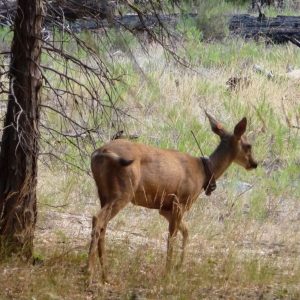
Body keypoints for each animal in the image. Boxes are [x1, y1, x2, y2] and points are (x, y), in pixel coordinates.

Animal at [86, 112, 258, 284]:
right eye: (248, 145)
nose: (254, 163)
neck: (204, 173)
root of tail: (100, 152)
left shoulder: (165, 209)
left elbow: (186, 231)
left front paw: (178, 267)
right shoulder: (180, 202)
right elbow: (172, 238)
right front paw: (168, 273)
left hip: (104, 193)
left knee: (102, 225)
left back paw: (104, 275)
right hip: (123, 191)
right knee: (98, 219)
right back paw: (89, 273)